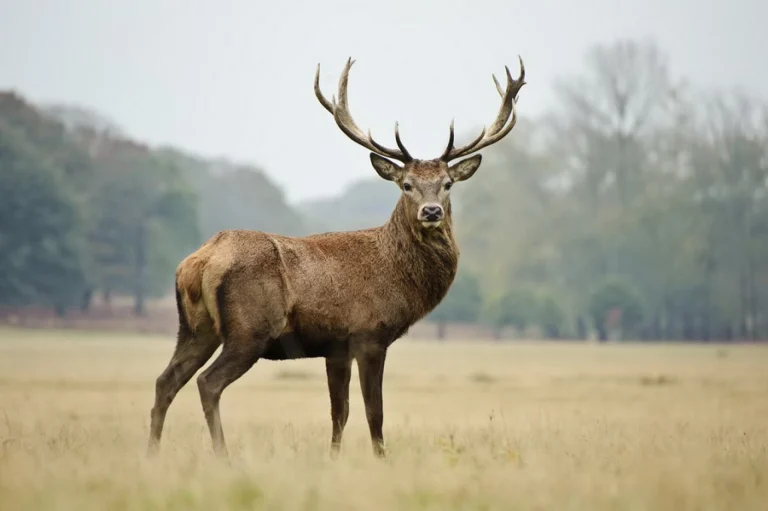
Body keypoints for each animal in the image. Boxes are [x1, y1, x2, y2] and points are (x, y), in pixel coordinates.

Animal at [146, 56, 526, 458]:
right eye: (406, 185)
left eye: (448, 184)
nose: (432, 211)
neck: (396, 274)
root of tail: (200, 261)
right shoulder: (369, 334)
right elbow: (374, 411)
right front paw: (381, 458)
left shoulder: (336, 347)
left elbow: (339, 412)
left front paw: (333, 458)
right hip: (249, 329)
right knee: (208, 383)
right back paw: (223, 456)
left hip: (195, 327)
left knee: (165, 381)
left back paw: (152, 453)